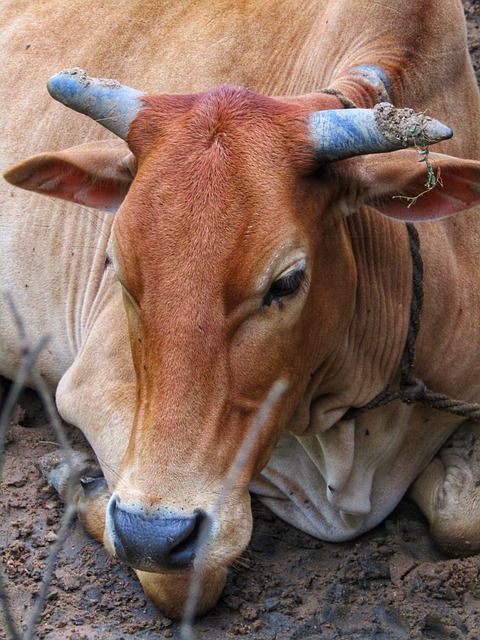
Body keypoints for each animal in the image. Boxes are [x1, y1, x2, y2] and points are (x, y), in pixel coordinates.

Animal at [0, 0, 480, 620]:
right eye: (119, 270)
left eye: (288, 281)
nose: (152, 535)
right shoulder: (92, 385)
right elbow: (186, 579)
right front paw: (75, 477)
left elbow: (462, 521)